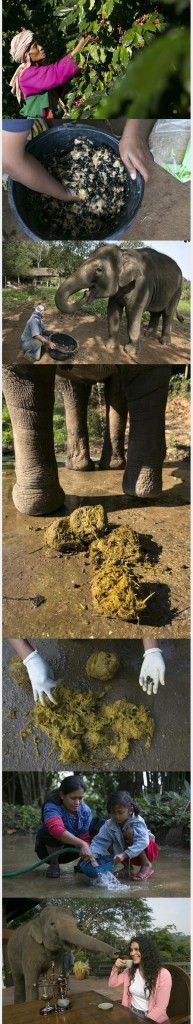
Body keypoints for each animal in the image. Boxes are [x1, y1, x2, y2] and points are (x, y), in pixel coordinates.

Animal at [54, 241, 182, 354]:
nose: (85, 293)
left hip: (177, 290)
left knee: (168, 313)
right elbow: (113, 310)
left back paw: (164, 342)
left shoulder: (142, 286)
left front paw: (131, 352)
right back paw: (148, 335)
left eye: (99, 270)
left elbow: (133, 313)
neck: (123, 253)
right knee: (155, 312)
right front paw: (110, 346)